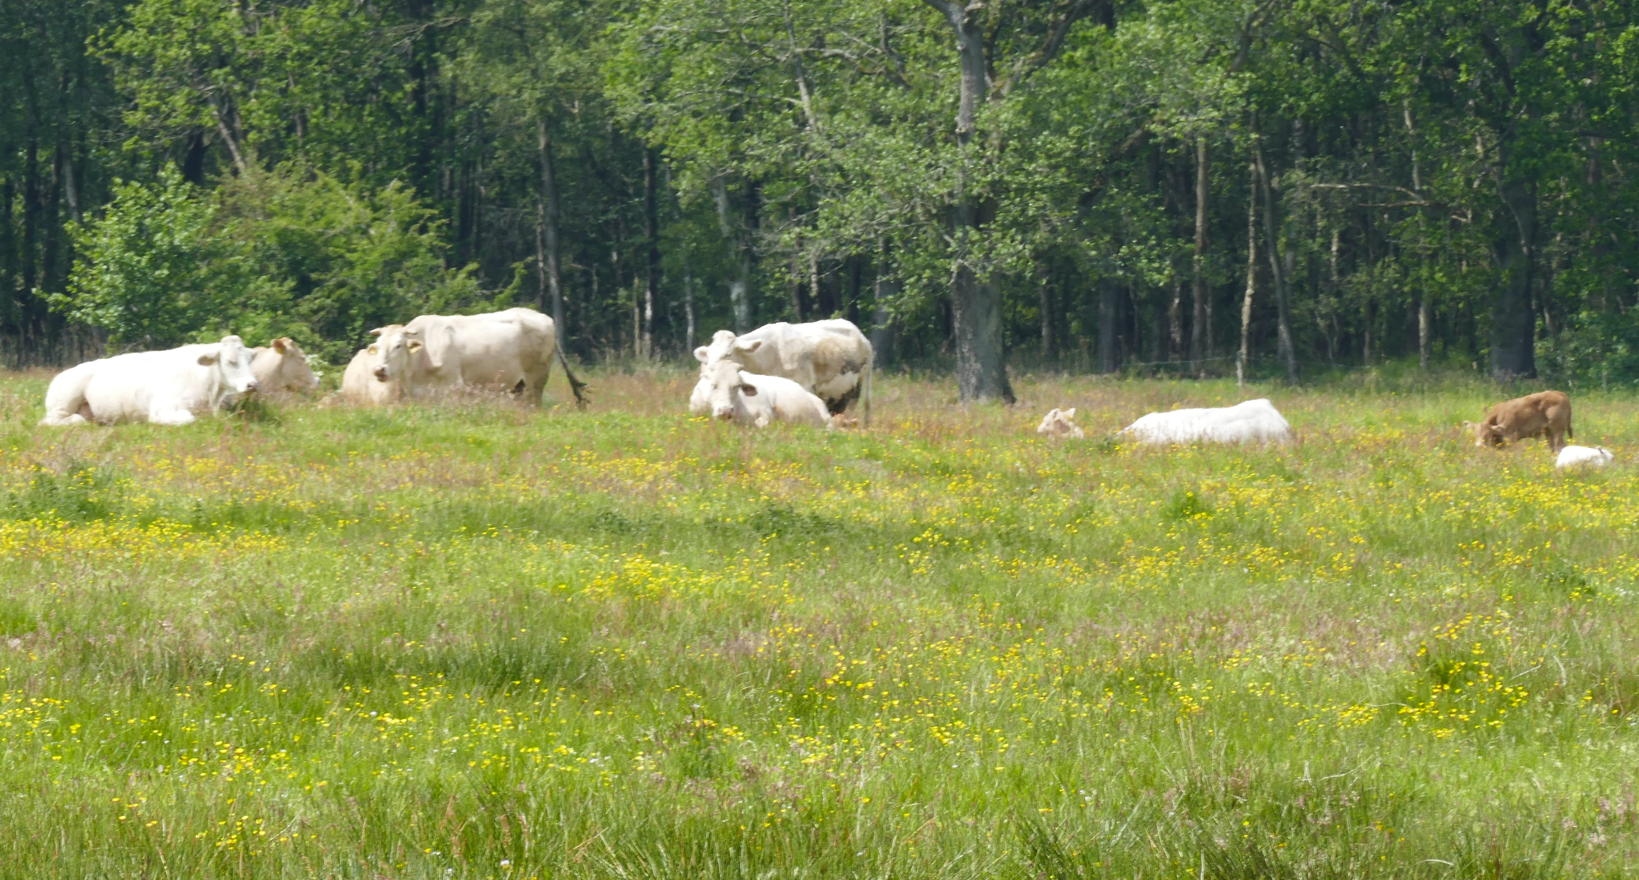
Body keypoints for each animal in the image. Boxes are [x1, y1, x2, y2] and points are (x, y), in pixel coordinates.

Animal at [39, 335, 259, 426]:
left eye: (250, 359)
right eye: (230, 361)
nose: (252, 384)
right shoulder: (161, 409)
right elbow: (189, 418)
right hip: (63, 403)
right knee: (53, 421)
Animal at [361, 308, 587, 407]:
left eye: (398, 345)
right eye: (378, 347)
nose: (378, 370)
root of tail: (545, 317)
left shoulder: (453, 385)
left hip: (537, 379)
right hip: (518, 385)